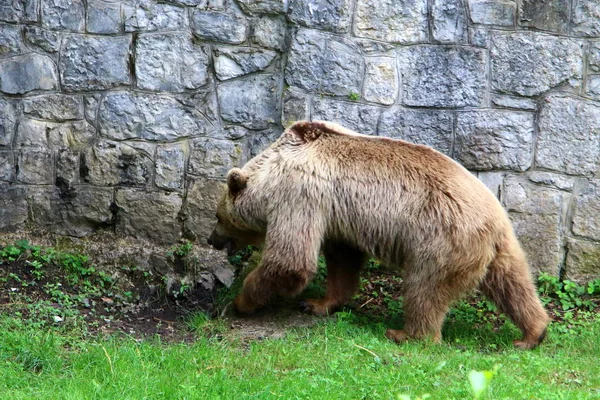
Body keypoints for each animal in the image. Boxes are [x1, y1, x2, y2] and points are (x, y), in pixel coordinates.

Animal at [209, 119, 552, 350]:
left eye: (217, 216)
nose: (212, 239)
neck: (273, 172)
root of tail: (494, 219)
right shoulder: (337, 215)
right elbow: (342, 260)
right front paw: (318, 302)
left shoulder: (300, 194)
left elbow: (290, 260)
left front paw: (241, 301)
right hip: (500, 247)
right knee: (514, 283)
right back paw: (532, 333)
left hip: (440, 240)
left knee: (424, 289)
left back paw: (406, 334)